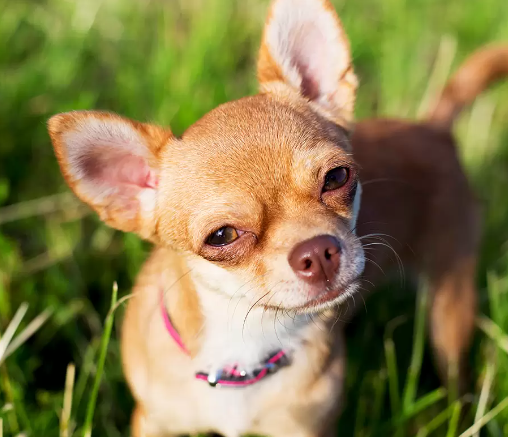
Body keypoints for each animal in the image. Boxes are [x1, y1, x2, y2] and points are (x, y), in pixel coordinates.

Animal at [46, 0, 508, 434]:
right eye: (222, 235)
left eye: (337, 177)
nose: (318, 252)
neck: (246, 347)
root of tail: (433, 127)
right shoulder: (153, 421)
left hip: (450, 299)